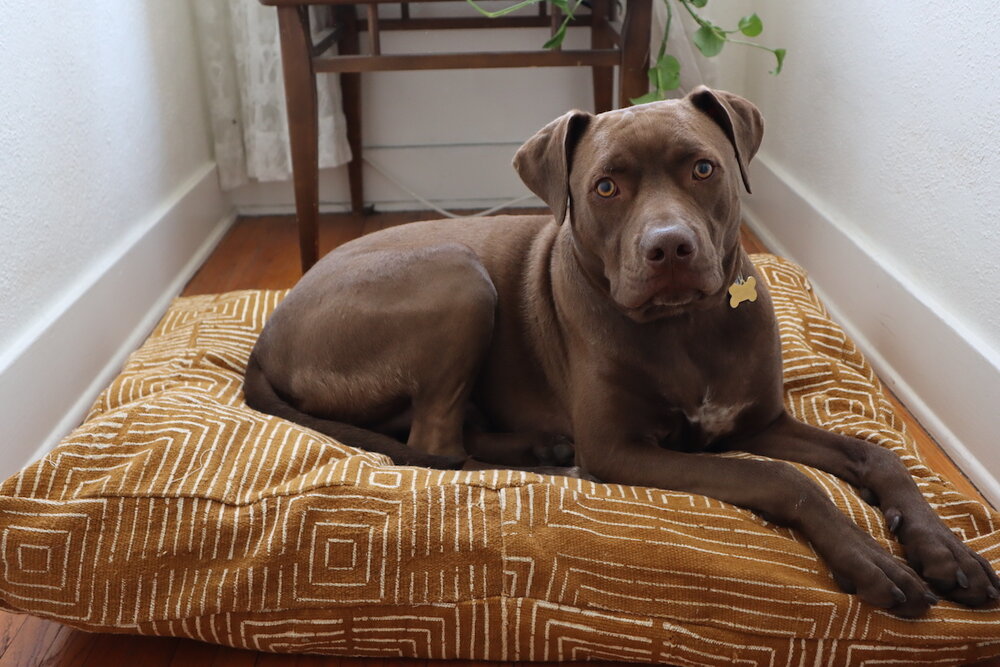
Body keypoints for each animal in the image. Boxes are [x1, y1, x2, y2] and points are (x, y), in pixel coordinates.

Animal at [244, 87, 1000, 616]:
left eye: (703, 168)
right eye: (605, 186)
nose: (669, 248)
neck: (685, 326)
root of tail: (265, 339)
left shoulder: (755, 423)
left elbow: (878, 455)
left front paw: (943, 548)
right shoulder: (625, 449)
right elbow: (785, 480)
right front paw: (873, 561)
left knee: (441, 436)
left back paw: (542, 447)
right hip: (458, 276)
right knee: (435, 445)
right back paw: (550, 459)